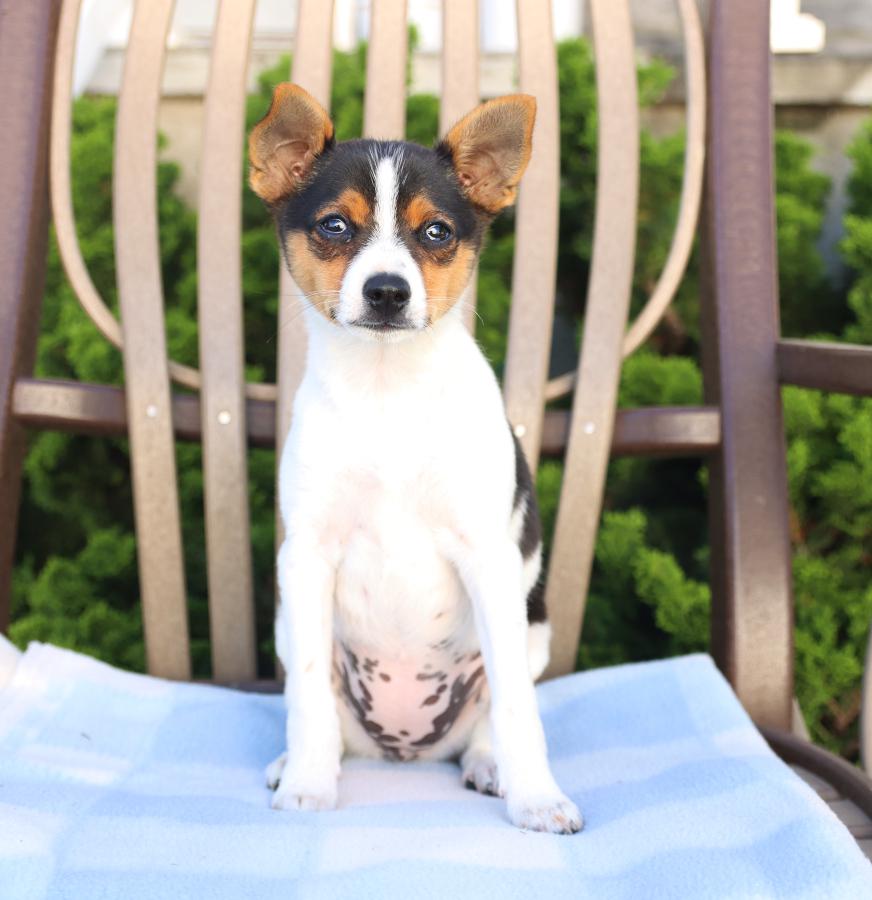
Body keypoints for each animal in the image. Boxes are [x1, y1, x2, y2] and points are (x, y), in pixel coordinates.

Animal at [249, 84, 584, 836]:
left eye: (435, 233)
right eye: (335, 226)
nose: (387, 292)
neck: (385, 393)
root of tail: (405, 752)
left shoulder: (488, 558)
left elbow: (518, 711)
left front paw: (538, 799)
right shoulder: (307, 557)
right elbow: (307, 696)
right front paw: (308, 785)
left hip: (533, 631)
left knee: (489, 720)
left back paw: (489, 767)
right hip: (289, 625)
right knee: (327, 716)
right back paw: (296, 762)